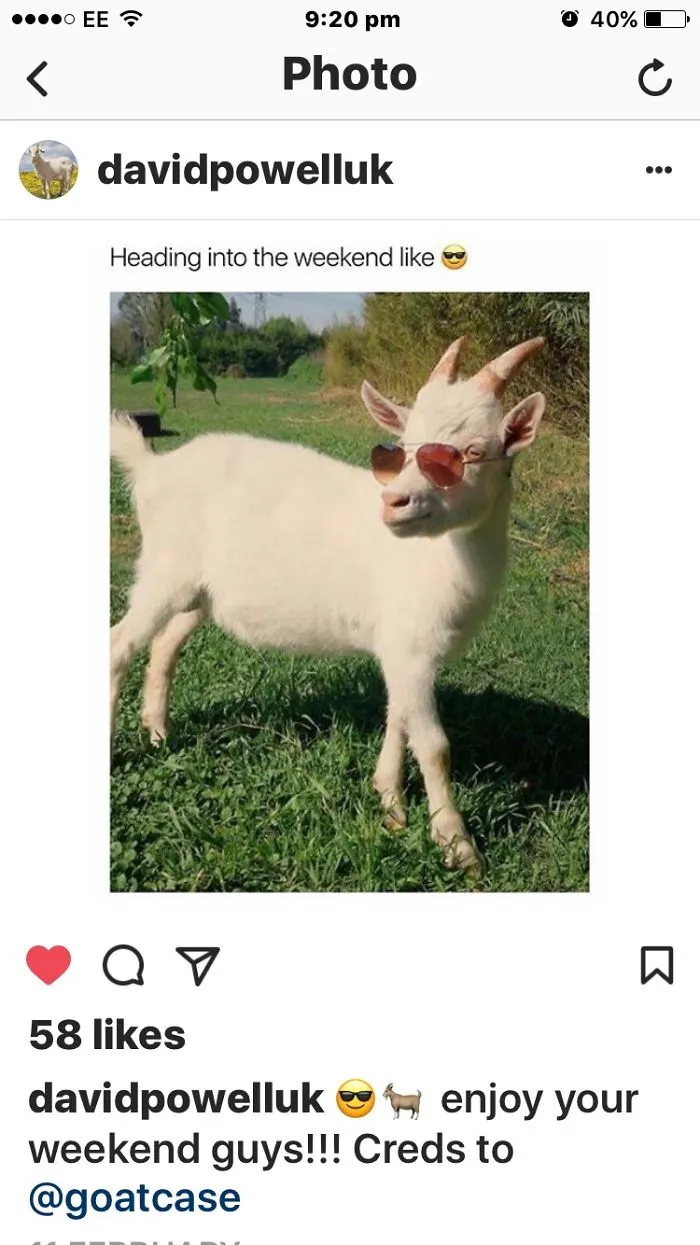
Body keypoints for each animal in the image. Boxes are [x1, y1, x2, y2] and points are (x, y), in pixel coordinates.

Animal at [110, 334, 546, 873]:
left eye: (470, 451)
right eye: (400, 449)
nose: (393, 503)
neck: (440, 557)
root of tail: (152, 467)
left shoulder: (401, 648)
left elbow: (398, 716)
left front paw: (390, 803)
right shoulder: (410, 646)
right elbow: (434, 745)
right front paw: (457, 844)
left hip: (197, 589)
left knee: (165, 644)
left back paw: (158, 732)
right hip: (163, 569)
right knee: (119, 646)